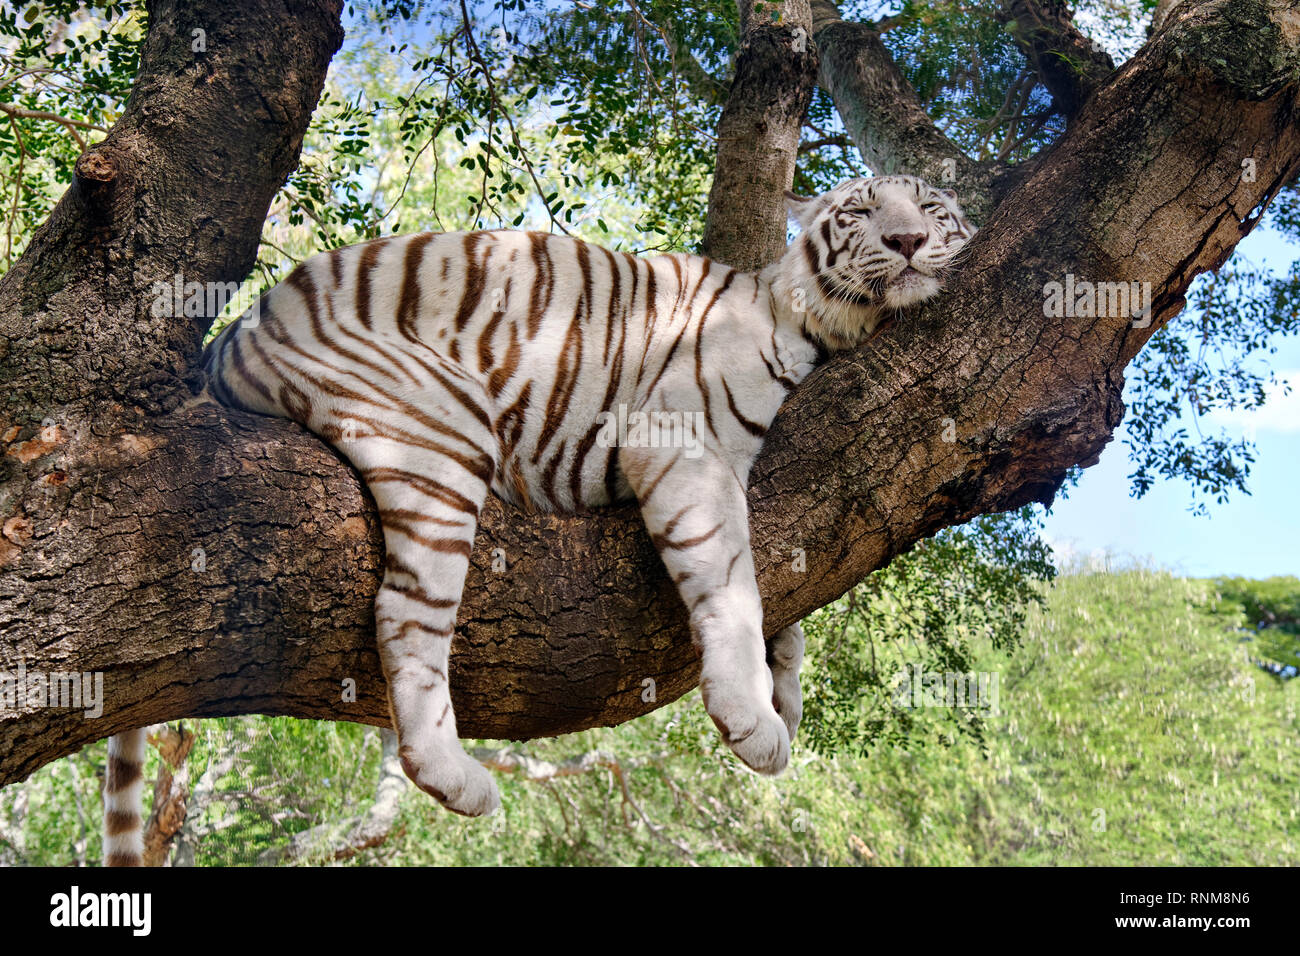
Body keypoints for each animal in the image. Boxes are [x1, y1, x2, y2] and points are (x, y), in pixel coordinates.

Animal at [102, 174, 973, 862]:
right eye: (860, 211)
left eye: (933, 207)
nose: (906, 239)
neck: (816, 322)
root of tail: (236, 329)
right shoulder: (681, 441)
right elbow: (734, 581)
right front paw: (752, 717)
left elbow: (789, 587)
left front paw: (785, 689)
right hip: (440, 429)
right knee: (402, 614)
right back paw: (458, 779)